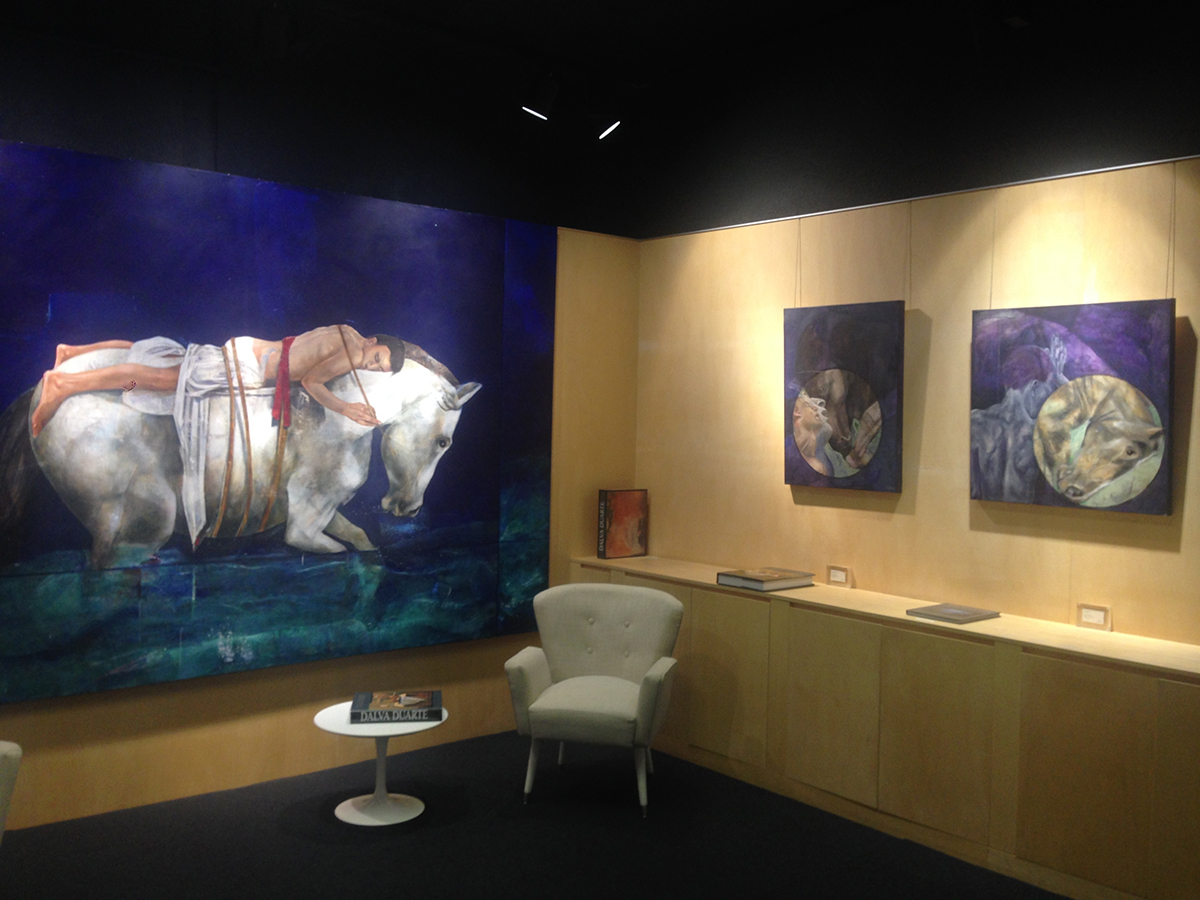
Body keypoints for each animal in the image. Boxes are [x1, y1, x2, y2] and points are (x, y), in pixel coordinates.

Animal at [0, 343, 479, 569]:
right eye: (444, 443)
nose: (407, 508)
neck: (341, 409)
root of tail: (38, 393)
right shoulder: (305, 525)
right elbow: (337, 550)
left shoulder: (322, 511)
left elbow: (362, 542)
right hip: (144, 521)